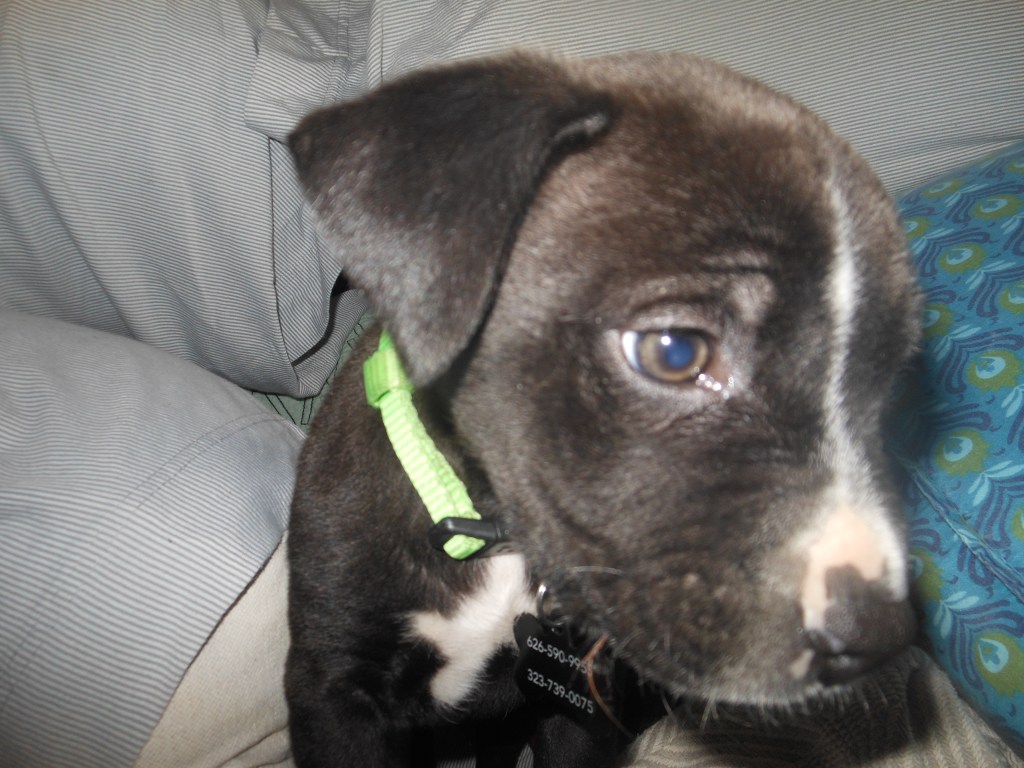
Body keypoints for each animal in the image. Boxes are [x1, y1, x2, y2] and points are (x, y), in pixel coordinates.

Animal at [284, 51, 921, 768]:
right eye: (674, 350)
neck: (495, 547)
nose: (877, 635)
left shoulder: (583, 710)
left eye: (889, 385)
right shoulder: (333, 695)